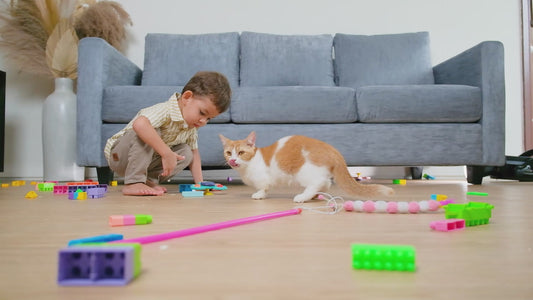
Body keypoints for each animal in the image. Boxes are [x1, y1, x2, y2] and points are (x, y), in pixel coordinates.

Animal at [218, 132, 392, 203]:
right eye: (228, 153)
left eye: (241, 153)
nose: (232, 160)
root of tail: (332, 149)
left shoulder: (263, 178)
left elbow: (263, 188)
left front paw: (259, 195)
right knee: (325, 184)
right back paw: (314, 196)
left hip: (304, 172)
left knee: (317, 183)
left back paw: (303, 197)